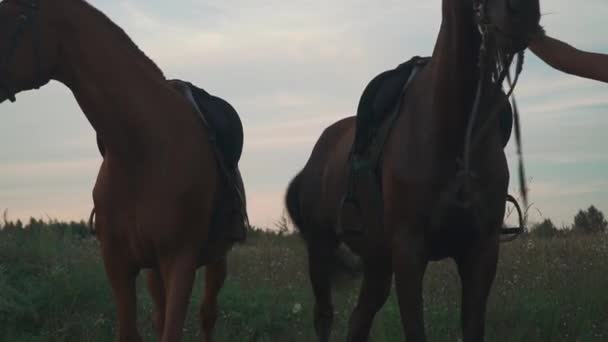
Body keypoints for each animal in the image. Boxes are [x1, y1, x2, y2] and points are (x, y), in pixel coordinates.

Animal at [1, 1, 247, 340]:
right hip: (154, 270)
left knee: (207, 313)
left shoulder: (180, 261)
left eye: (14, 17)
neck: (140, 152)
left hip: (217, 257)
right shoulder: (118, 264)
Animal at [288, 0, 540, 342]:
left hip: (378, 261)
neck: (453, 125)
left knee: (359, 319)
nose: (522, 13)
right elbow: (415, 329)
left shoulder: (481, 251)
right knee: (325, 316)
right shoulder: (409, 252)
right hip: (321, 248)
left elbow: (473, 327)